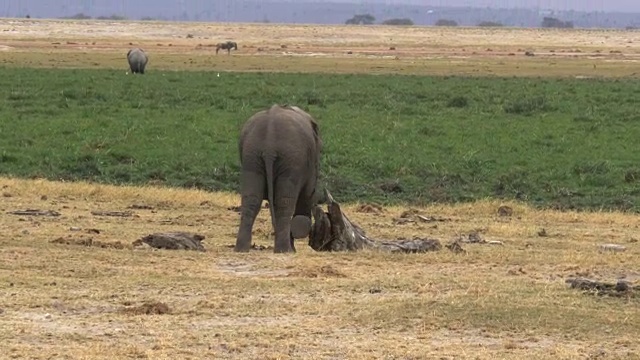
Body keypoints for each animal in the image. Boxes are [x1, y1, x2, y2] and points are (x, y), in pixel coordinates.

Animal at [235, 105, 322, 255]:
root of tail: (269, 145)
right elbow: (307, 192)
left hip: (251, 156)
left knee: (251, 200)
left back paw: (241, 249)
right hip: (291, 160)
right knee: (285, 203)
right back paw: (285, 250)